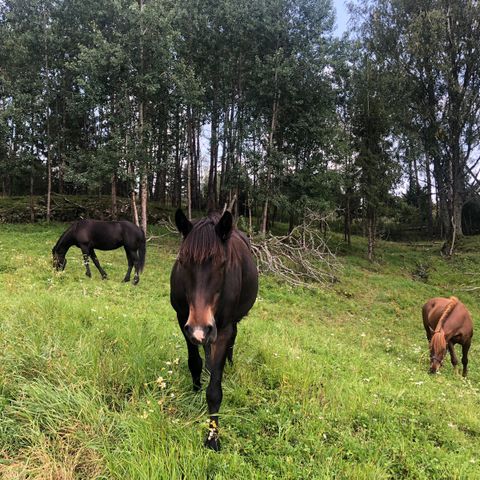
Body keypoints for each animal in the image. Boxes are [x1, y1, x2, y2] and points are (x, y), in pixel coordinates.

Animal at [170, 209, 256, 450]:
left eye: (222, 263)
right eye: (182, 261)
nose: (200, 329)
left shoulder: (223, 329)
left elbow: (215, 391)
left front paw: (212, 438)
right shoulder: (183, 321)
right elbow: (194, 362)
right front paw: (195, 389)